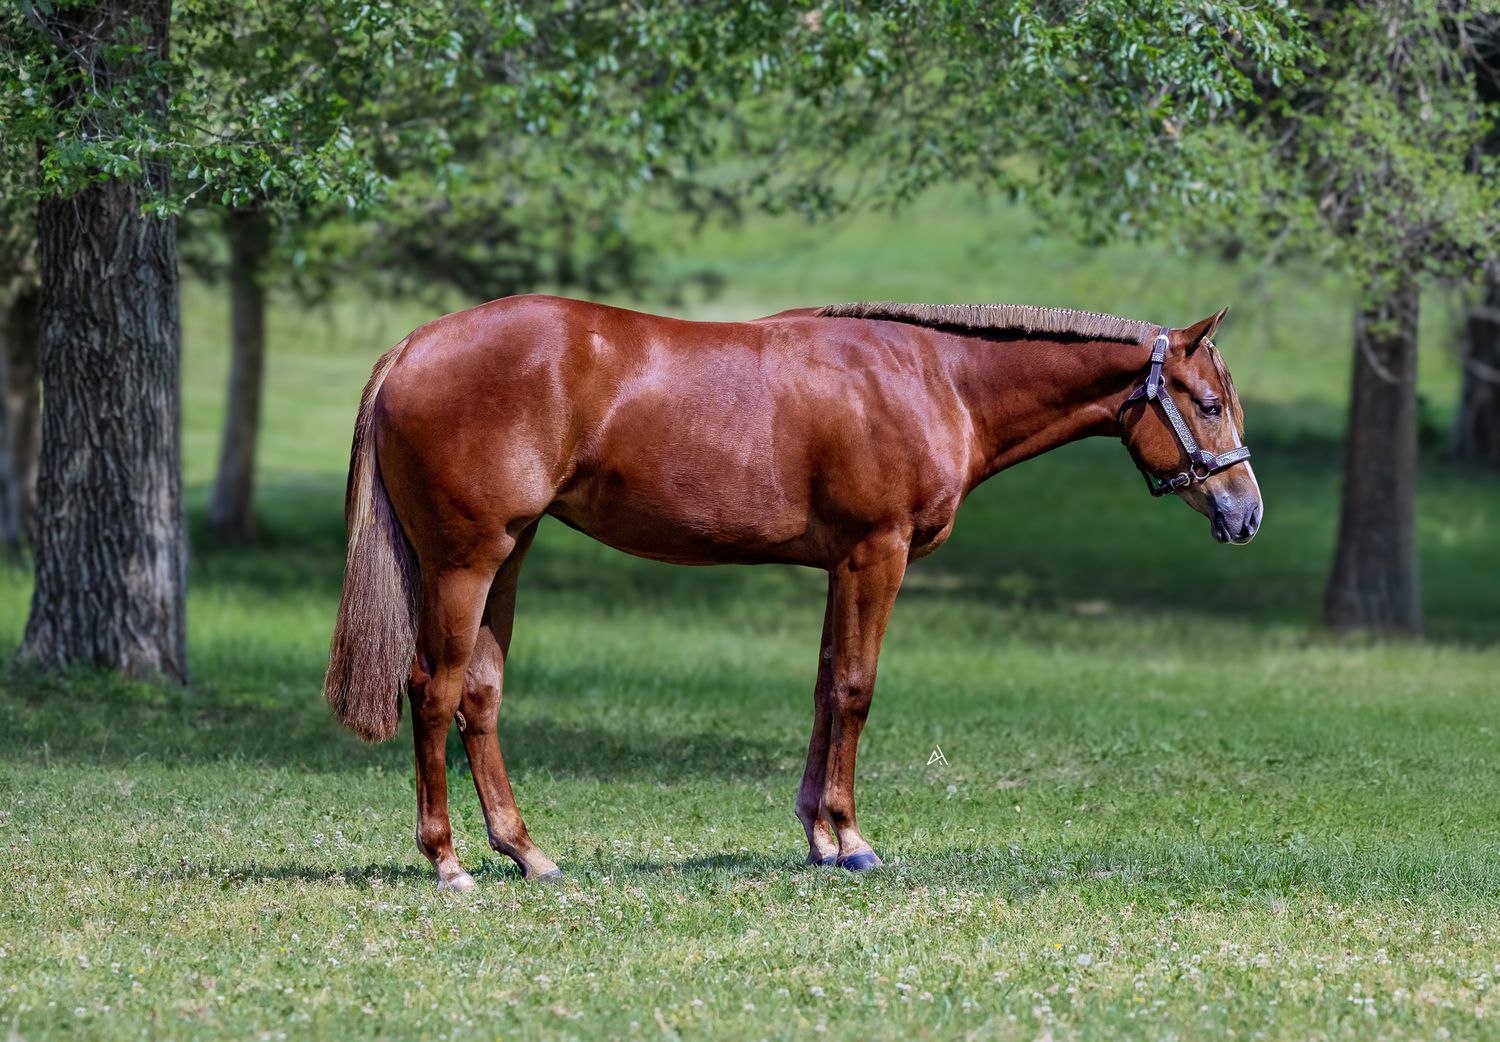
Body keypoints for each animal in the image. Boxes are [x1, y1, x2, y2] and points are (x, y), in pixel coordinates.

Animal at [323, 295, 1262, 890]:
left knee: (479, 695)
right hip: (465, 562)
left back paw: (529, 855)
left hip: (509, 556)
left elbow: (821, 687)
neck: (937, 377)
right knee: (433, 690)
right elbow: (854, 689)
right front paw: (852, 841)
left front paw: (817, 836)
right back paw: (448, 863)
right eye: (1208, 404)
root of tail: (412, 348)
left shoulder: (841, 565)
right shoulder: (877, 555)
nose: (1246, 514)